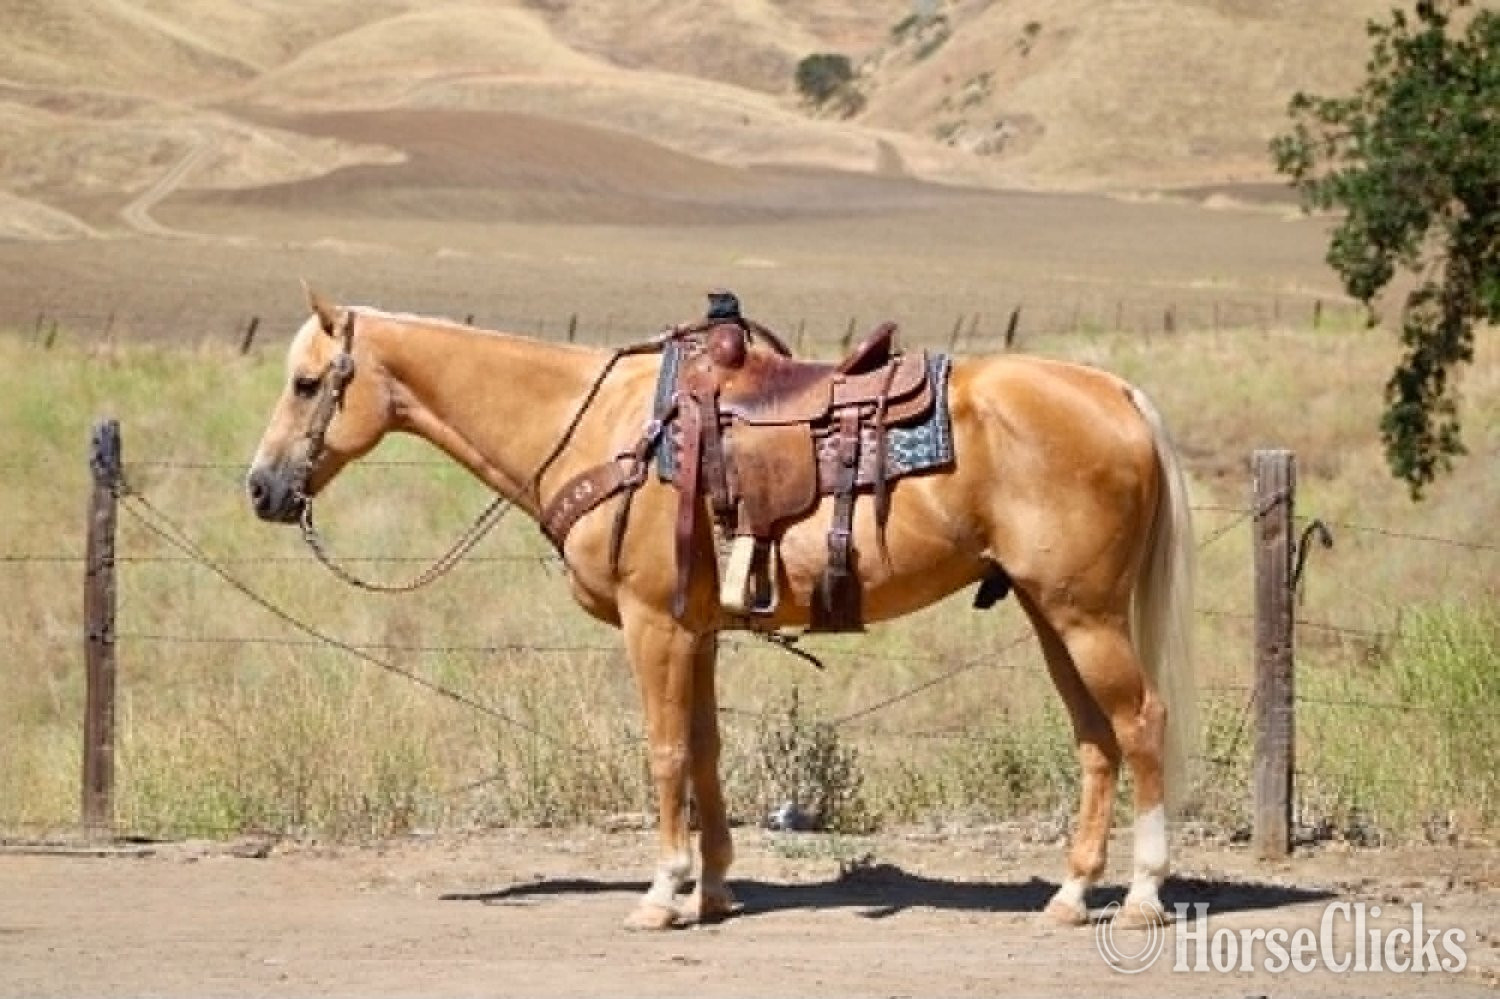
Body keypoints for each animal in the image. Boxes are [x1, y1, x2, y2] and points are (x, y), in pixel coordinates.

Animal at [246, 289, 1197, 932]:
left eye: (306, 384)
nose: (260, 487)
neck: (605, 428)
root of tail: (1115, 392)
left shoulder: (653, 626)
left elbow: (665, 752)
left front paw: (662, 892)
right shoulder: (695, 631)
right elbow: (704, 751)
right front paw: (713, 889)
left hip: (1085, 615)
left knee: (1142, 721)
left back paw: (1144, 894)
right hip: (1050, 612)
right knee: (1095, 737)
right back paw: (1069, 894)